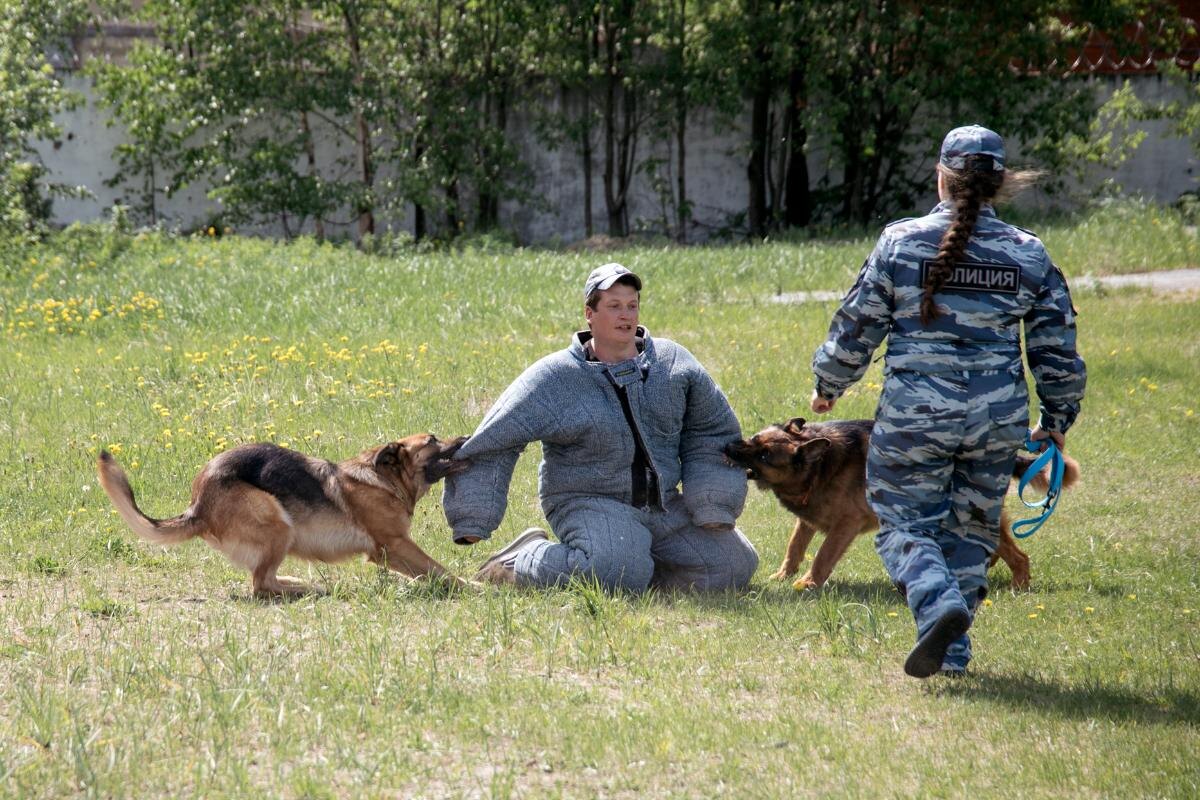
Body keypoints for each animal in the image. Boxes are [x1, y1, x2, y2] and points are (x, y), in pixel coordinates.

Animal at [96, 434, 470, 597]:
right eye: (432, 439)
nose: (466, 436)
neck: (385, 479)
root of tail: (198, 505)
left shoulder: (393, 552)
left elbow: (429, 574)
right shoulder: (393, 545)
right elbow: (443, 571)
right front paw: (475, 588)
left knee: (265, 580)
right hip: (277, 523)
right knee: (261, 584)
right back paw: (311, 587)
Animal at [724, 419, 1084, 587]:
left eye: (765, 455)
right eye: (754, 440)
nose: (728, 446)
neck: (819, 466)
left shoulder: (845, 525)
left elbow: (823, 556)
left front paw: (809, 583)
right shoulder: (809, 519)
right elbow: (795, 546)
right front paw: (783, 575)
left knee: (1018, 556)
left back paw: (1017, 586)